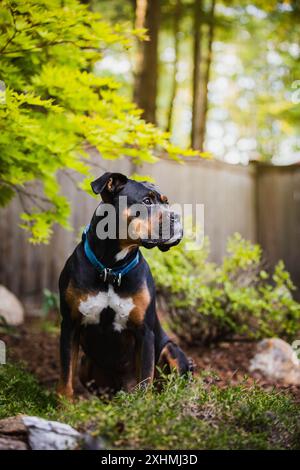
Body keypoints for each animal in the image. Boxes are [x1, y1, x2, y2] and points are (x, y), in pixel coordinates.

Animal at [57, 171, 193, 398]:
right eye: (146, 201)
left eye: (166, 202)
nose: (176, 216)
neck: (111, 269)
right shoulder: (70, 326)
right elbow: (66, 379)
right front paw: (64, 406)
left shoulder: (145, 333)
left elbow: (145, 382)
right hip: (86, 364)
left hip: (171, 350)